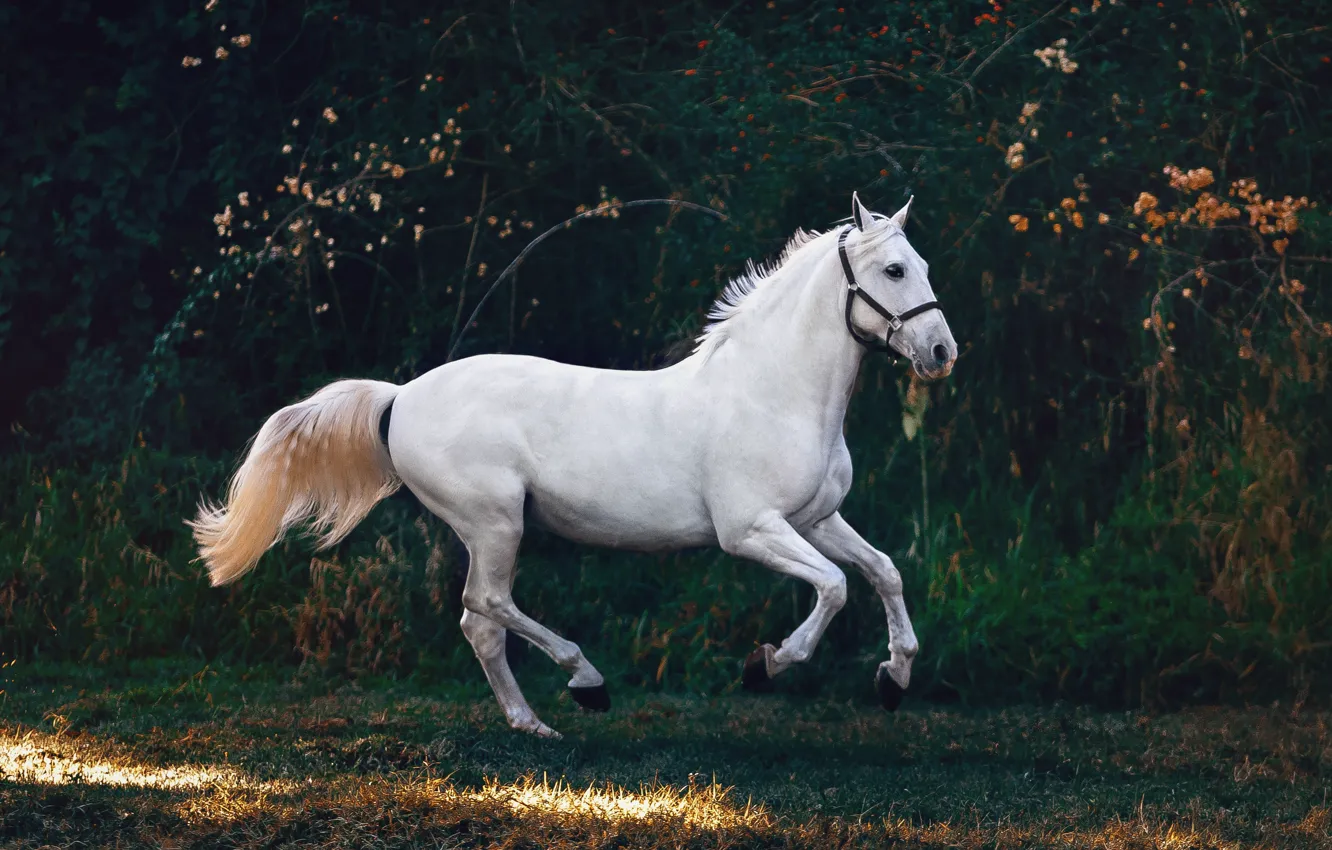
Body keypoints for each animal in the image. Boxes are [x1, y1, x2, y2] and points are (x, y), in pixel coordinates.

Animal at [189, 193, 957, 737]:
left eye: (923, 266)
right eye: (894, 270)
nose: (942, 352)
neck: (773, 392)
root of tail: (400, 396)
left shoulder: (817, 519)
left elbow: (883, 571)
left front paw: (894, 678)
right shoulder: (752, 531)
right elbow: (834, 587)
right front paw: (766, 665)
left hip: (493, 529)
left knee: (479, 623)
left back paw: (533, 723)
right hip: (495, 523)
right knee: (486, 606)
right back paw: (585, 682)